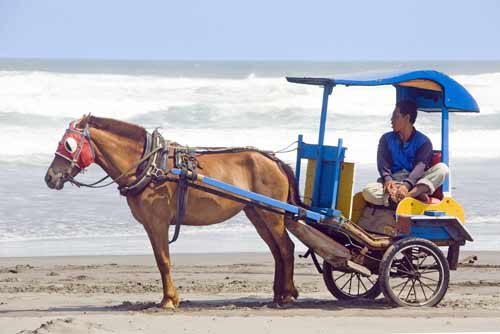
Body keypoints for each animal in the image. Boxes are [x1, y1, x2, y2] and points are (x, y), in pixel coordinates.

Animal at [44, 115, 300, 310]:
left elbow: (163, 260)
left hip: (272, 214)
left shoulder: (158, 222)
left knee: (286, 248)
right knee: (276, 251)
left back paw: (287, 295)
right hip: (257, 213)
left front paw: (168, 300)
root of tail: (274, 160)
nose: (50, 177)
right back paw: (278, 294)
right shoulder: (150, 225)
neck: (149, 165)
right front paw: (169, 297)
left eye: (68, 145)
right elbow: (160, 260)